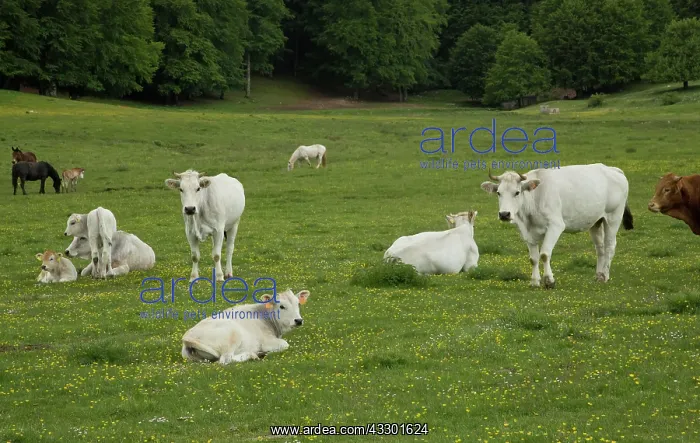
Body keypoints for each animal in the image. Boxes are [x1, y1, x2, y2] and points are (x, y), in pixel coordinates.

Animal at [181, 289, 310, 365]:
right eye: (282, 306)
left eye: (298, 304)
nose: (298, 320)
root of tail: (188, 337)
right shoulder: (267, 341)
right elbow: (285, 344)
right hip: (233, 336)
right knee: (225, 360)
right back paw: (253, 354)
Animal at [480, 164, 634, 288]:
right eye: (498, 193)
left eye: (517, 192)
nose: (504, 214)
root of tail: (613, 169)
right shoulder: (527, 231)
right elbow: (533, 258)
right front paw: (534, 281)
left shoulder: (556, 226)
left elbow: (544, 254)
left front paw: (549, 281)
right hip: (596, 222)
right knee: (600, 248)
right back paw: (599, 275)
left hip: (613, 217)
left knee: (609, 246)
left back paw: (605, 276)